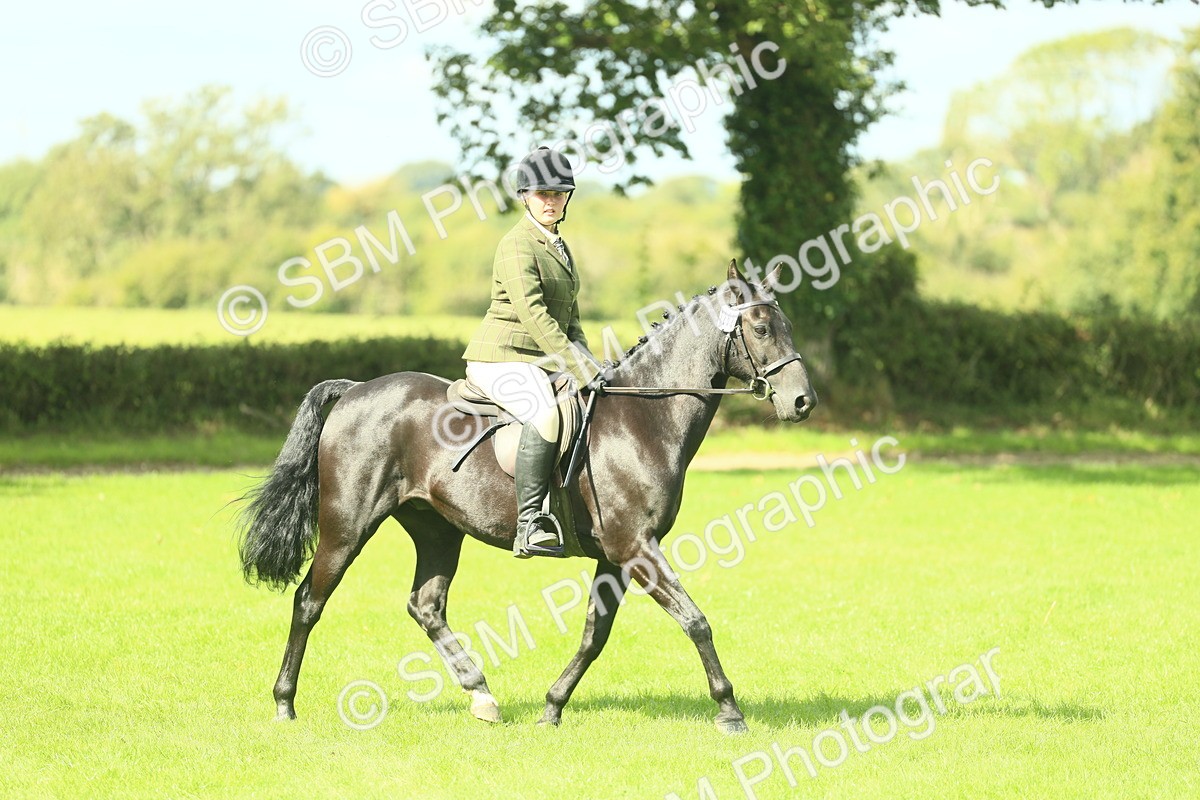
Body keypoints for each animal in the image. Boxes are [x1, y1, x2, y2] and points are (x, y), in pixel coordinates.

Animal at [238, 261, 817, 733]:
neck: (644, 417)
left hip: (437, 529)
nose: (802, 402)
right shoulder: (637, 547)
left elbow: (594, 635)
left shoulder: (617, 555)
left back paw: (482, 697)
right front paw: (730, 711)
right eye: (761, 328)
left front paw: (552, 707)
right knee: (309, 602)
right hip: (347, 526)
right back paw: (285, 704)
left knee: (426, 606)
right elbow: (695, 619)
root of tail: (355, 389)